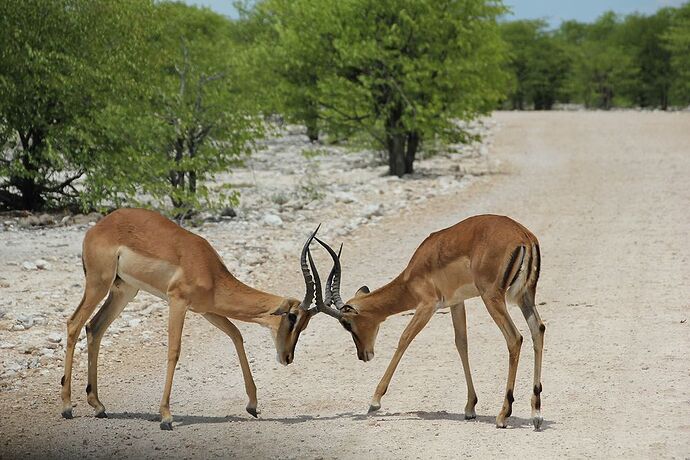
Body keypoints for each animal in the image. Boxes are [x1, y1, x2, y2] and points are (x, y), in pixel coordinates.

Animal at [60, 208, 318, 432]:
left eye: (305, 325)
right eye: (292, 317)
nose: (287, 357)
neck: (208, 268)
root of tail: (98, 227)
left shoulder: (206, 310)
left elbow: (236, 334)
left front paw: (252, 406)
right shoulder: (177, 302)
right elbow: (174, 351)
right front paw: (166, 417)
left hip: (124, 290)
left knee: (94, 328)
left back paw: (98, 406)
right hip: (99, 284)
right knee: (74, 324)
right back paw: (67, 407)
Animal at [310, 216, 544, 432]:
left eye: (346, 323)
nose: (363, 355)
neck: (414, 273)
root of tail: (523, 236)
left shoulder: (427, 306)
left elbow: (404, 339)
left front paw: (374, 401)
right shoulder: (456, 303)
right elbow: (461, 343)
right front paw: (470, 407)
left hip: (492, 297)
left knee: (515, 338)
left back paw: (503, 415)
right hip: (525, 296)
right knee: (538, 330)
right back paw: (536, 414)